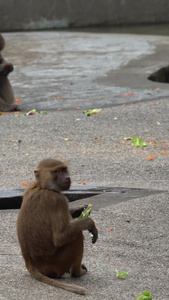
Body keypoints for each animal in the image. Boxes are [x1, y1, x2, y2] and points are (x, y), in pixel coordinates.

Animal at [16, 158, 98, 294]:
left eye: (64, 170)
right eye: (57, 171)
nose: (67, 178)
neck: (42, 186)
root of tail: (31, 264)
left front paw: (80, 210)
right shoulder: (57, 200)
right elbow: (59, 238)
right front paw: (89, 222)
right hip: (57, 265)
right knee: (77, 236)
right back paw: (77, 272)